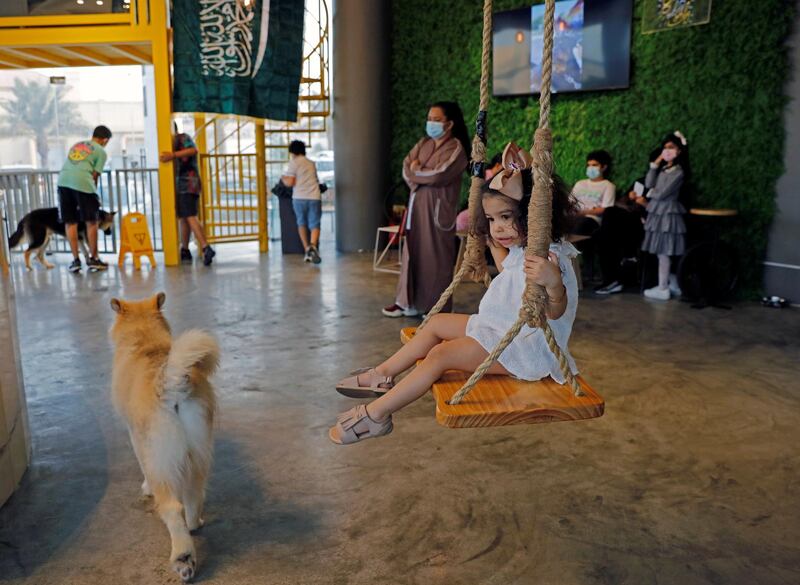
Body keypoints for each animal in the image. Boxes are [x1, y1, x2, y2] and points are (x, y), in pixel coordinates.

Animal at [110, 292, 219, 580]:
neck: (144, 339)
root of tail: (172, 382)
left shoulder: (136, 437)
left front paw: (145, 488)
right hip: (198, 450)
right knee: (194, 494)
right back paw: (194, 524)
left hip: (159, 457)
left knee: (172, 508)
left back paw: (183, 558)